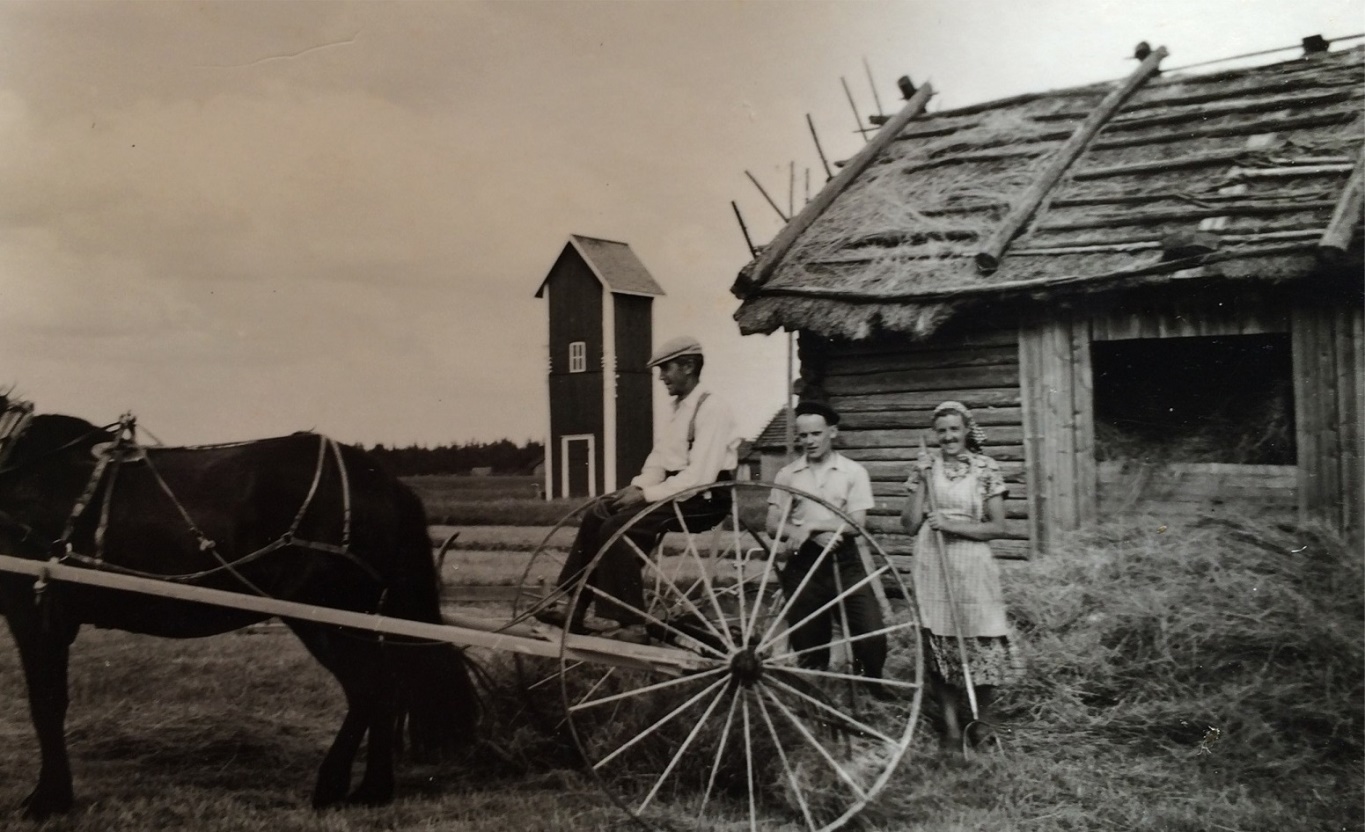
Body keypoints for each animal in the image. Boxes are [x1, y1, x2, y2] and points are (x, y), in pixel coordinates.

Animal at [0, 395, 480, 818]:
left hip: (327, 617)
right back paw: (372, 791)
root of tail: (385, 481)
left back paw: (339, 786)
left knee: (371, 690)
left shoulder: (34, 612)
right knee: (384, 690)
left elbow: (46, 704)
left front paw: (47, 800)